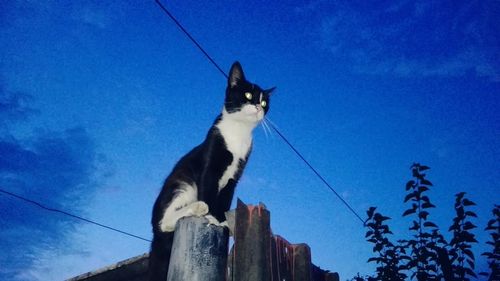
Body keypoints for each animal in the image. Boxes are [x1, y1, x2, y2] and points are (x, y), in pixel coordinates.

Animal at [148, 61, 276, 280]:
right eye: (248, 95)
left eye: (265, 102)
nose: (259, 107)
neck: (238, 132)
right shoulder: (210, 164)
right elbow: (208, 189)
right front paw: (211, 217)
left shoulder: (234, 177)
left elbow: (224, 199)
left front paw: (222, 221)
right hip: (183, 184)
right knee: (165, 221)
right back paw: (198, 207)